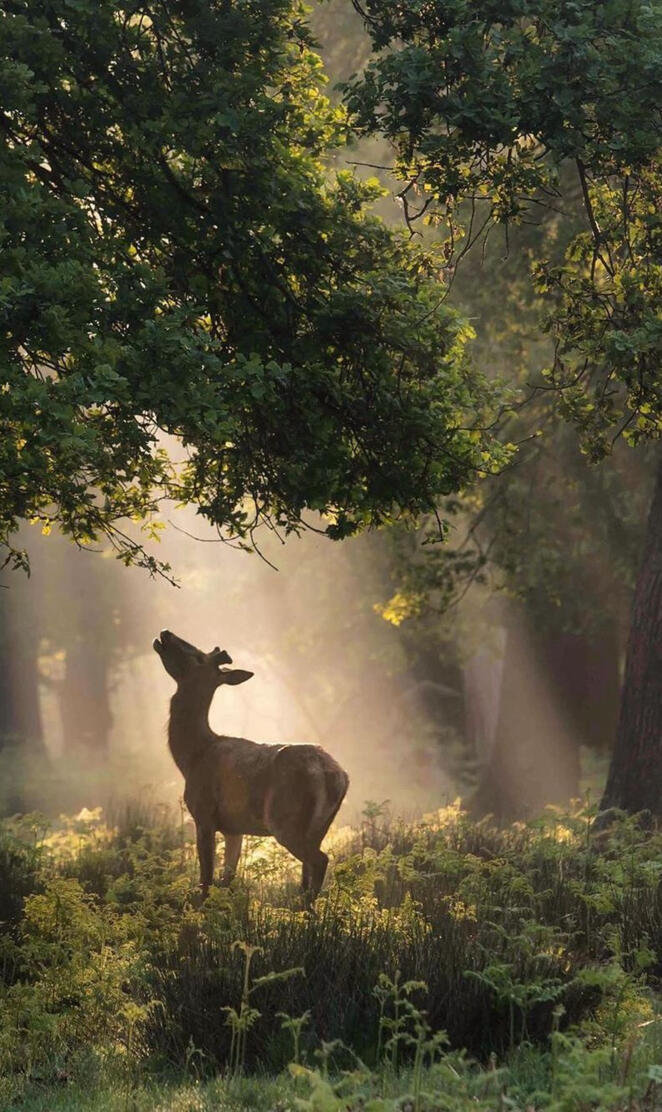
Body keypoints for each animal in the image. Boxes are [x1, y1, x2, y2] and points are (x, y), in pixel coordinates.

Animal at [153, 629, 349, 898]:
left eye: (199, 657)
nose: (166, 633)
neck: (192, 757)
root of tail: (338, 777)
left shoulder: (203, 812)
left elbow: (206, 880)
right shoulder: (234, 828)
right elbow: (227, 878)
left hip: (284, 820)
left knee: (320, 860)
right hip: (320, 827)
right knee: (309, 870)